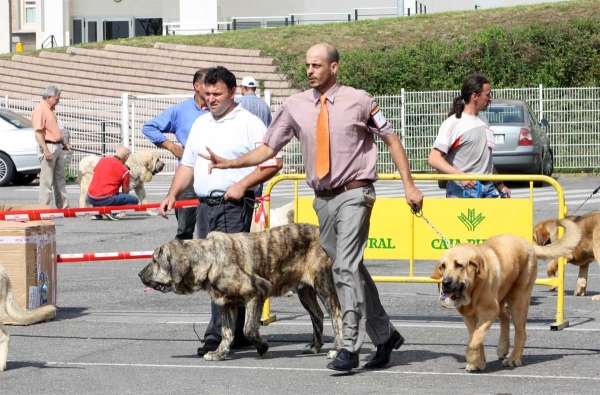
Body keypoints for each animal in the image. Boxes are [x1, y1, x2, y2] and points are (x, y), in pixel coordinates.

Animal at [137, 223, 342, 362]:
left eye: (155, 261)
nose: (139, 274)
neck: (209, 260)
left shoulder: (257, 292)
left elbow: (248, 329)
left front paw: (262, 347)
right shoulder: (227, 304)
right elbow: (227, 332)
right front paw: (220, 353)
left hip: (323, 284)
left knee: (336, 315)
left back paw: (338, 349)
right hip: (305, 291)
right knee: (317, 315)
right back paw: (315, 347)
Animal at [432, 218, 580, 372]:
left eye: (459, 265)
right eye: (443, 266)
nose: (445, 282)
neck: (473, 288)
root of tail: (527, 242)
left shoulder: (489, 312)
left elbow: (474, 340)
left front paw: (472, 359)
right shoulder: (469, 317)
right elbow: (475, 338)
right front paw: (478, 362)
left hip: (518, 300)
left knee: (520, 332)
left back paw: (514, 359)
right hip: (502, 295)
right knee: (505, 315)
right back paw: (503, 348)